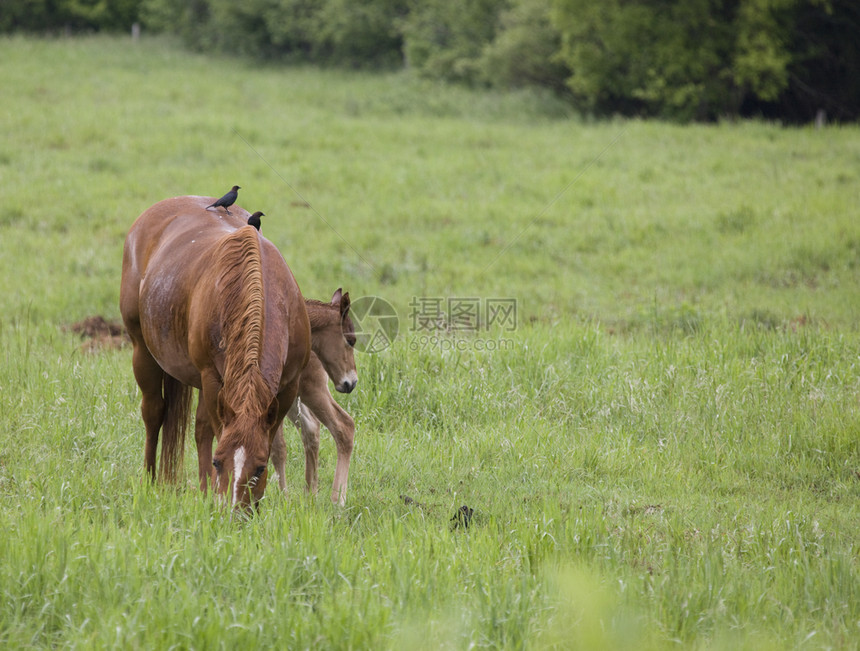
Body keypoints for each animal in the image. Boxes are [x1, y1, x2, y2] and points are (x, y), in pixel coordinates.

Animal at [118, 196, 310, 512]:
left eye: (259, 468)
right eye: (218, 462)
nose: (235, 513)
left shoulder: (287, 387)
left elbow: (267, 439)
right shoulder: (211, 378)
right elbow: (208, 433)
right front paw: (212, 492)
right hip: (143, 352)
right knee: (154, 413)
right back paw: (152, 479)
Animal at [272, 292, 360, 506]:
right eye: (351, 340)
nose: (352, 382)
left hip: (311, 389)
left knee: (343, 425)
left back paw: (336, 500)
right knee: (311, 428)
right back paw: (310, 494)